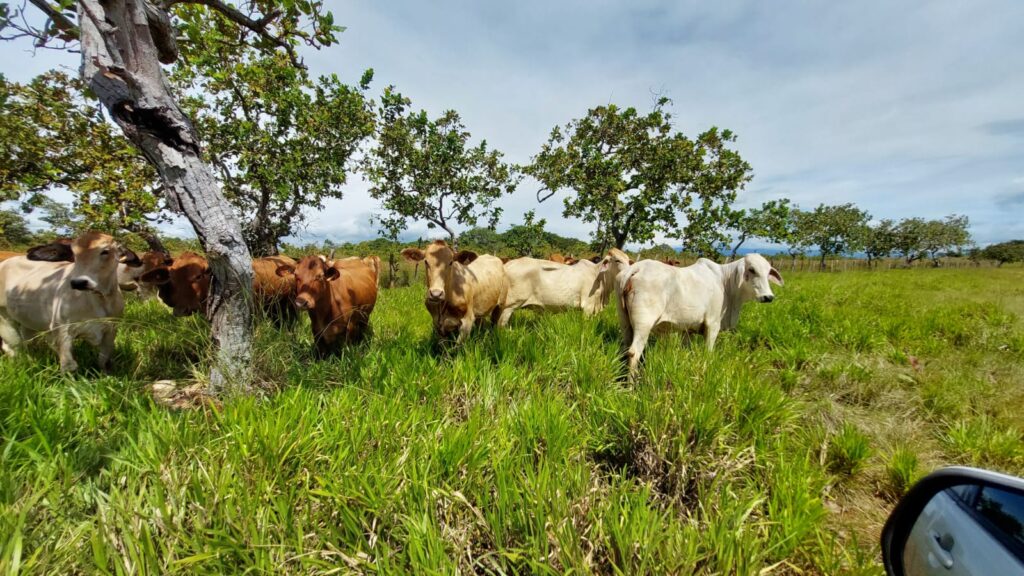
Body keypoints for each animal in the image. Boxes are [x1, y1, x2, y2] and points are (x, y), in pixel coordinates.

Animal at [0, 230, 140, 368]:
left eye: (105, 251)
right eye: (73, 253)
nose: (78, 283)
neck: (99, 300)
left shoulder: (110, 332)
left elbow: (103, 362)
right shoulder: (61, 331)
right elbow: (69, 366)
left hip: (28, 321)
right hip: (4, 317)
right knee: (13, 345)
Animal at [497, 247, 630, 325]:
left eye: (629, 261)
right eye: (617, 260)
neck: (598, 275)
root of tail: (507, 265)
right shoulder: (587, 307)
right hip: (508, 307)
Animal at [614, 252, 782, 373]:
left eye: (768, 272)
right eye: (752, 270)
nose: (768, 297)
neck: (725, 282)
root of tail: (636, 268)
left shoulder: (687, 329)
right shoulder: (713, 324)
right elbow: (708, 351)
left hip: (624, 322)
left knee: (626, 349)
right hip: (644, 324)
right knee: (634, 352)